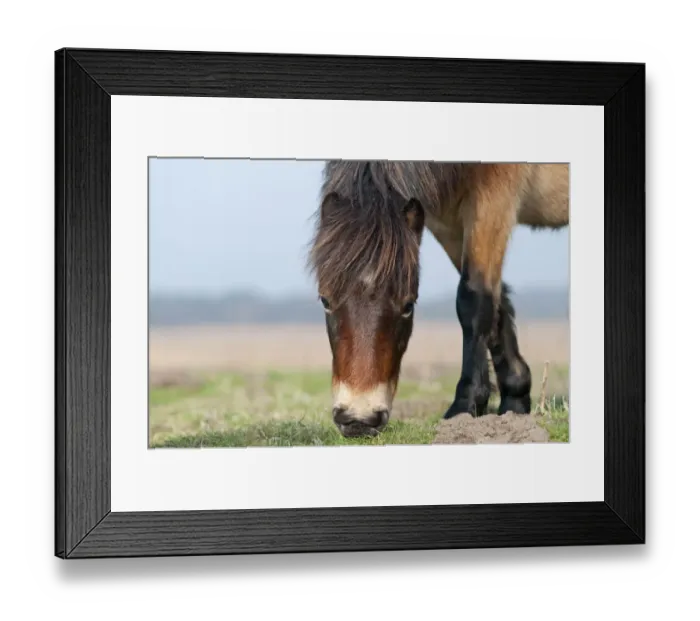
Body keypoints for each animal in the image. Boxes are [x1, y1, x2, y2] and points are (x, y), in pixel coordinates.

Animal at [306, 160, 569, 439]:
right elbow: (497, 302)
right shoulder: (447, 222)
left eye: (408, 306)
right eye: (325, 301)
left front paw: (465, 406)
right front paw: (515, 401)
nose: (359, 419)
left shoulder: (493, 200)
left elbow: (474, 299)